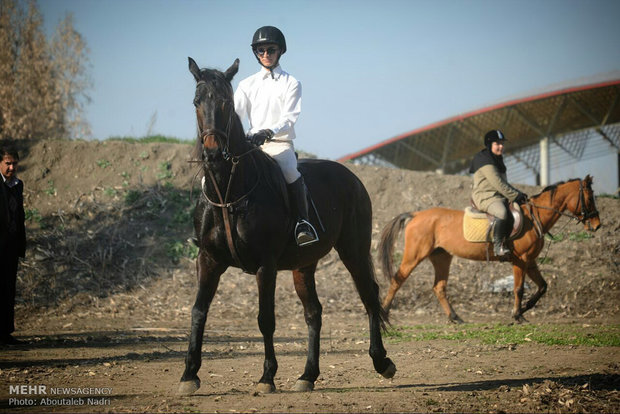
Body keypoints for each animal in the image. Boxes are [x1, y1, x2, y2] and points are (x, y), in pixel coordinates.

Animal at [177, 57, 394, 394]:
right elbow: (198, 311)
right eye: (196, 101)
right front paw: (189, 375)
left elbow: (265, 318)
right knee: (314, 312)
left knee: (369, 296)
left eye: (227, 103)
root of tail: (351, 176)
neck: (229, 192)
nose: (212, 153)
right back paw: (308, 375)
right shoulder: (209, 260)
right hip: (303, 265)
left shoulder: (265, 264)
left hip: (353, 251)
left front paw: (267, 377)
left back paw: (381, 361)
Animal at [378, 175, 600, 324]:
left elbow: (543, 286)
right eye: (589, 199)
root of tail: (416, 215)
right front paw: (518, 315)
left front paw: (526, 308)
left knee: (439, 287)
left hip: (441, 257)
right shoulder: (520, 261)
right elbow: (519, 288)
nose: (597, 225)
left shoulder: (530, 261)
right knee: (397, 280)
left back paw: (455, 317)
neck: (533, 217)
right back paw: (384, 311)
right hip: (414, 256)